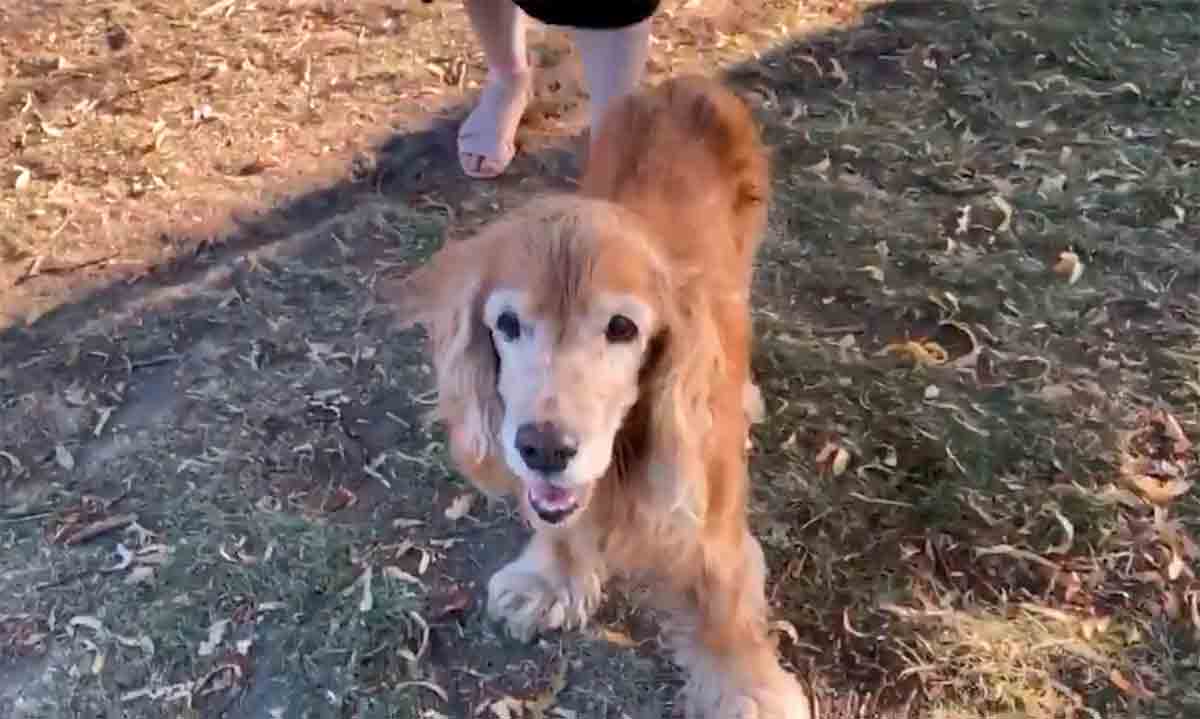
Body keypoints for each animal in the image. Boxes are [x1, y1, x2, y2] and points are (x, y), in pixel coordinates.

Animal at [388, 75, 811, 715]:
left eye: (621, 328)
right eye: (507, 324)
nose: (543, 448)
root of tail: (685, 83)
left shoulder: (712, 516)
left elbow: (723, 600)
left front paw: (748, 689)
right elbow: (558, 521)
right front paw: (549, 581)